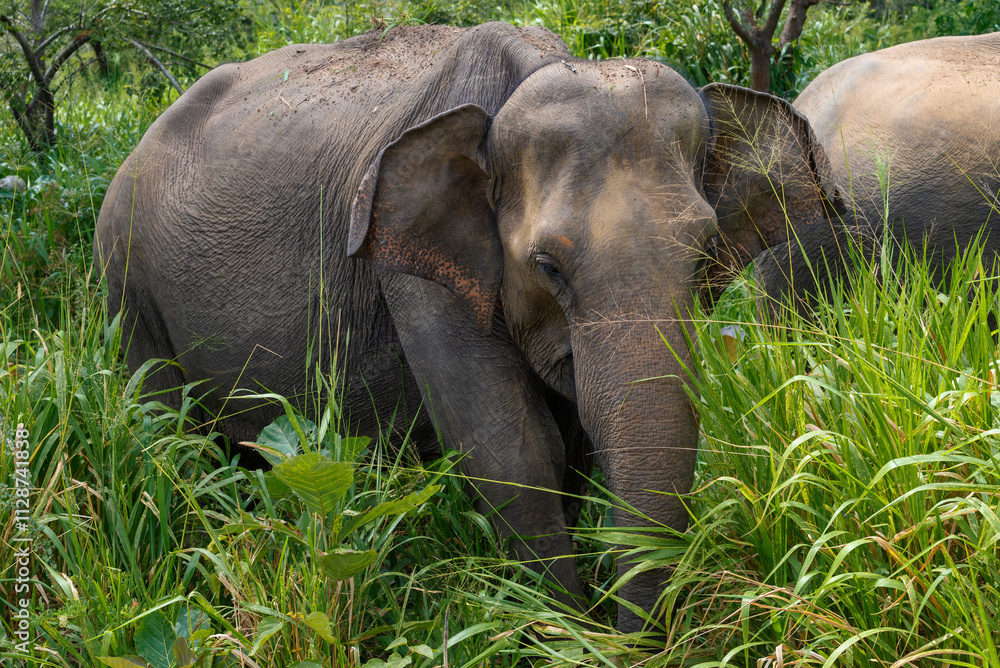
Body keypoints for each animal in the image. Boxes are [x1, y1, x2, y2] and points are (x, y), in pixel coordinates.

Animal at [94, 22, 838, 632]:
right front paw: (564, 635)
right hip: (127, 284)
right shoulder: (413, 266)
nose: (635, 638)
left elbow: (577, 446)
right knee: (173, 442)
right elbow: (513, 448)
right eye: (546, 266)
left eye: (706, 253)